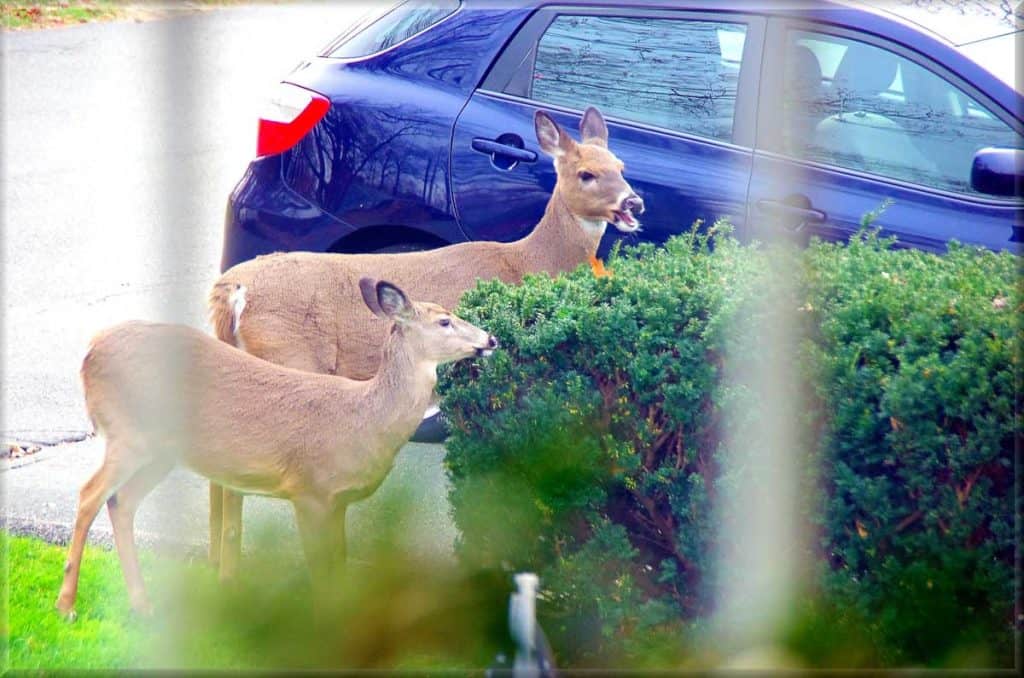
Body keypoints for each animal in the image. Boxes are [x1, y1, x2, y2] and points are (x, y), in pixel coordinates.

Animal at [56, 278, 495, 622]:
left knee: (121, 502)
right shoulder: (309, 490)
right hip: (129, 433)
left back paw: (142, 606)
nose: (490, 339)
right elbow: (320, 569)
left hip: (161, 450)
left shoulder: (337, 502)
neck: (364, 419)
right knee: (89, 495)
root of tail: (90, 349)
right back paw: (67, 606)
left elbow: (341, 563)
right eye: (444, 320)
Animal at [203, 106, 643, 577]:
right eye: (586, 173)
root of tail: (231, 289)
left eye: (621, 167)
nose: (634, 202)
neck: (524, 263)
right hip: (288, 358)